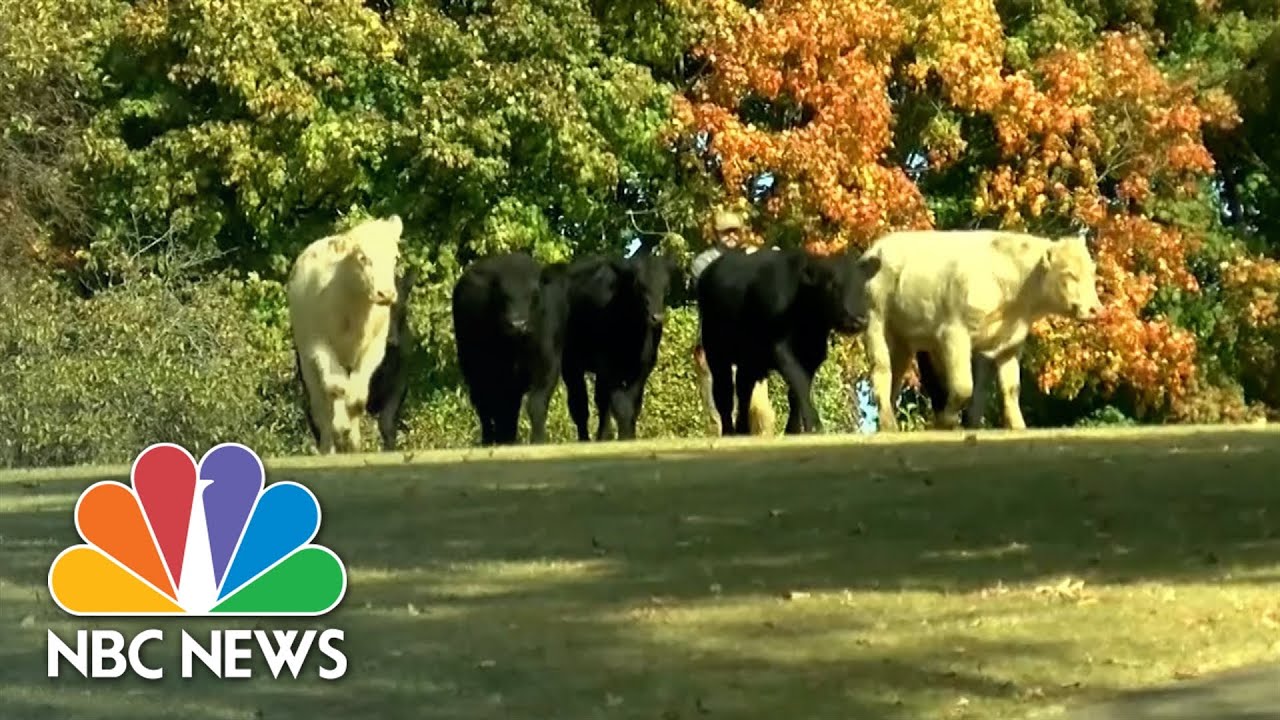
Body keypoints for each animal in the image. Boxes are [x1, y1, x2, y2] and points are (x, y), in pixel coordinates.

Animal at [287, 214, 403, 454]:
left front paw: (353, 438)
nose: (385, 294)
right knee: (321, 406)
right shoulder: (318, 345)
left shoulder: (375, 349)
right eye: (363, 258)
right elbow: (336, 389)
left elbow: (357, 398)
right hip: (306, 360)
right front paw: (341, 429)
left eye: (395, 257)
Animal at [451, 251, 570, 446]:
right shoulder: (494, 373)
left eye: (535, 293)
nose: (517, 324)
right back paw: (489, 440)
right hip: (472, 369)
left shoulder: (548, 364)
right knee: (485, 407)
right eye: (502, 295)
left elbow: (535, 404)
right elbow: (498, 410)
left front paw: (538, 440)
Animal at [560, 248, 678, 441]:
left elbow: (633, 406)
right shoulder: (608, 366)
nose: (657, 317)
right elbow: (621, 406)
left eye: (666, 286)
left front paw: (629, 436)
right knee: (580, 406)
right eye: (639, 285)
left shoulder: (643, 368)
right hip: (571, 364)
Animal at [696, 246, 883, 435]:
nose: (859, 319)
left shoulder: (813, 355)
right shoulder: (779, 347)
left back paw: (743, 430)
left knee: (743, 390)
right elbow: (799, 382)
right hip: (715, 350)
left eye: (863, 286)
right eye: (831, 285)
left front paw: (793, 430)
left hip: (749, 359)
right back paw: (729, 432)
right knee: (723, 393)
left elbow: (796, 392)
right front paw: (814, 426)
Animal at [859, 229, 1101, 432]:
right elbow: (964, 386)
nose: (1096, 309)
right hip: (876, 323)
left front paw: (1017, 427)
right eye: (1069, 274)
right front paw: (946, 423)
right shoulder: (953, 334)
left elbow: (1008, 389)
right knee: (881, 371)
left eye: (1092, 272)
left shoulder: (1009, 346)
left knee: (895, 377)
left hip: (903, 341)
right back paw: (889, 425)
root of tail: (876, 248)